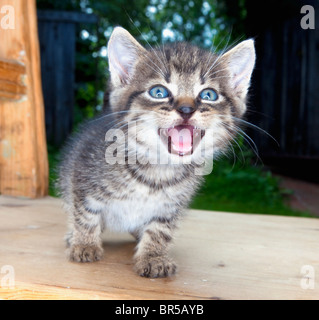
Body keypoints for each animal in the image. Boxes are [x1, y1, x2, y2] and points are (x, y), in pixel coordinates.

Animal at [57, 26, 256, 278]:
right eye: (158, 92)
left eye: (208, 95)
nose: (186, 109)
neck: (157, 168)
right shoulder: (81, 177)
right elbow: (85, 214)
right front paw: (85, 244)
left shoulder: (170, 207)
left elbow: (160, 229)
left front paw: (153, 256)